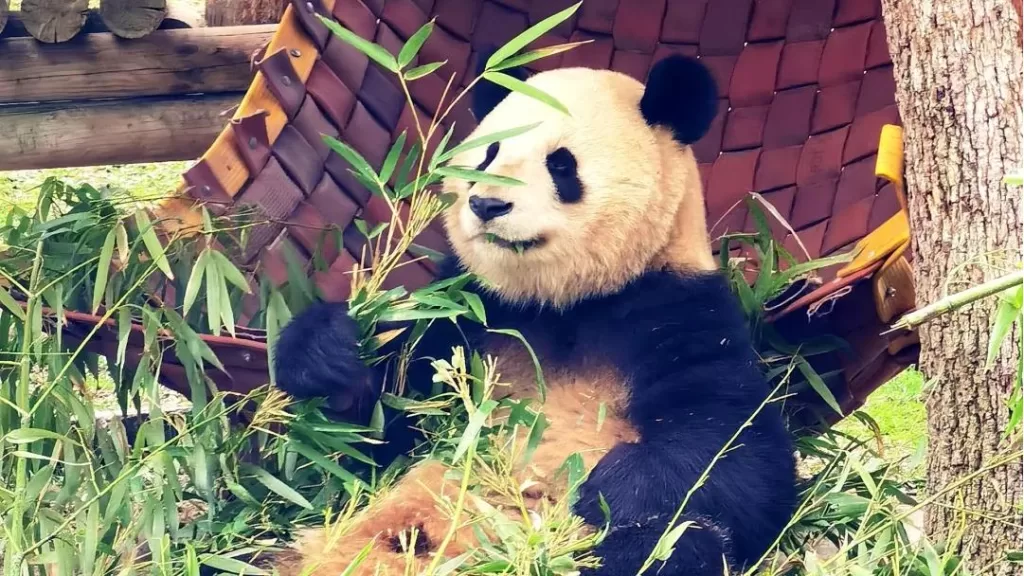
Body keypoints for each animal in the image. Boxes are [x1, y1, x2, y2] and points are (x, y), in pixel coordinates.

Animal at [271, 52, 798, 576]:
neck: (562, 302)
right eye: (488, 154)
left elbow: (737, 455)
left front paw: (609, 486)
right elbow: (376, 427)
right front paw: (328, 354)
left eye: (561, 164)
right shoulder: (470, 316)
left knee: (671, 548)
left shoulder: (678, 314)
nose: (487, 203)